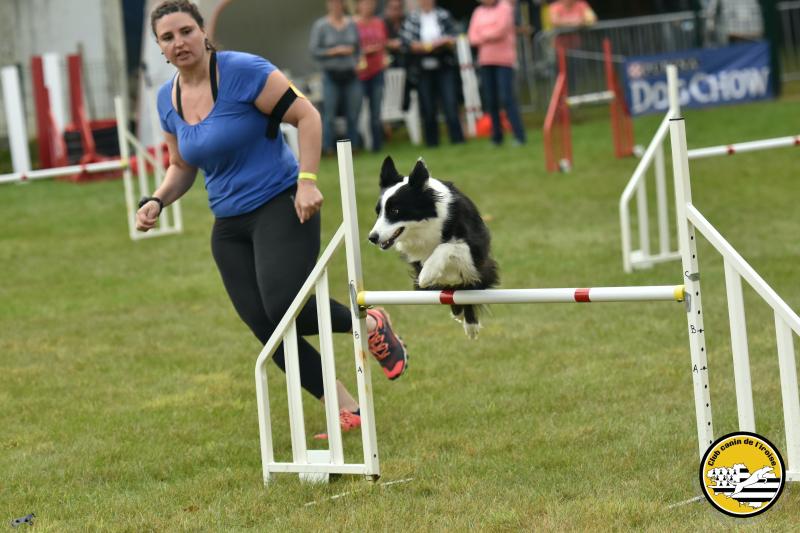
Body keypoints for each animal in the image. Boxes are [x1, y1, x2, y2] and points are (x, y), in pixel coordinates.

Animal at [368, 156, 499, 339]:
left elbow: (446, 247)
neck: (426, 224)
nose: (372, 237)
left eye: (395, 211)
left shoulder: (474, 250)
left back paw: (470, 324)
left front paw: (428, 273)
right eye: (378, 212)